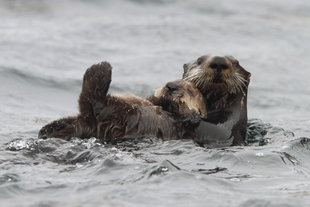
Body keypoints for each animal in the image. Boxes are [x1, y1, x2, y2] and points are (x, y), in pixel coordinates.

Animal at [38, 61, 206, 142]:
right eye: (168, 81)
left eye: (190, 91)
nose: (170, 86)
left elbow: (189, 116)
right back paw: (48, 129)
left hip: (122, 113)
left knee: (93, 101)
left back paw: (100, 69)